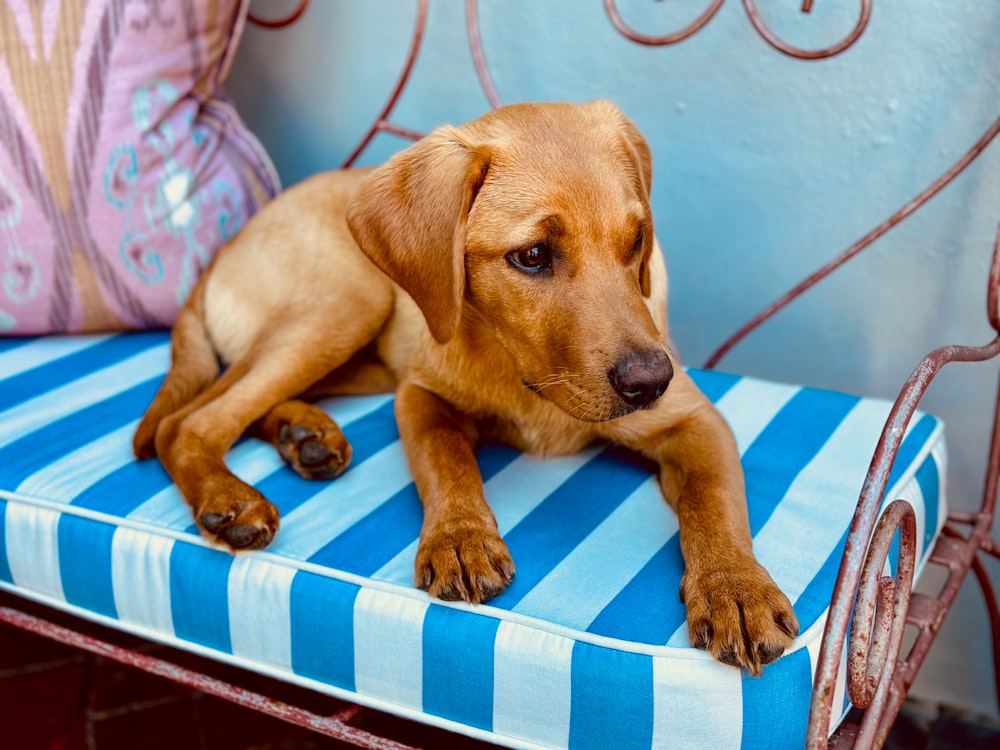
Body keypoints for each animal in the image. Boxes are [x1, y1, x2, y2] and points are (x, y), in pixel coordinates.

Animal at [137, 98, 800, 676]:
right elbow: (446, 459)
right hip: (348, 303)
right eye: (531, 255)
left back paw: (306, 435)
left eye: (637, 240)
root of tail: (224, 248)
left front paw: (735, 587)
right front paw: (460, 536)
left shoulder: (696, 420)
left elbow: (715, 502)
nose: (650, 381)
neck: (528, 379)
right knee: (188, 421)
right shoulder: (419, 393)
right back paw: (232, 497)